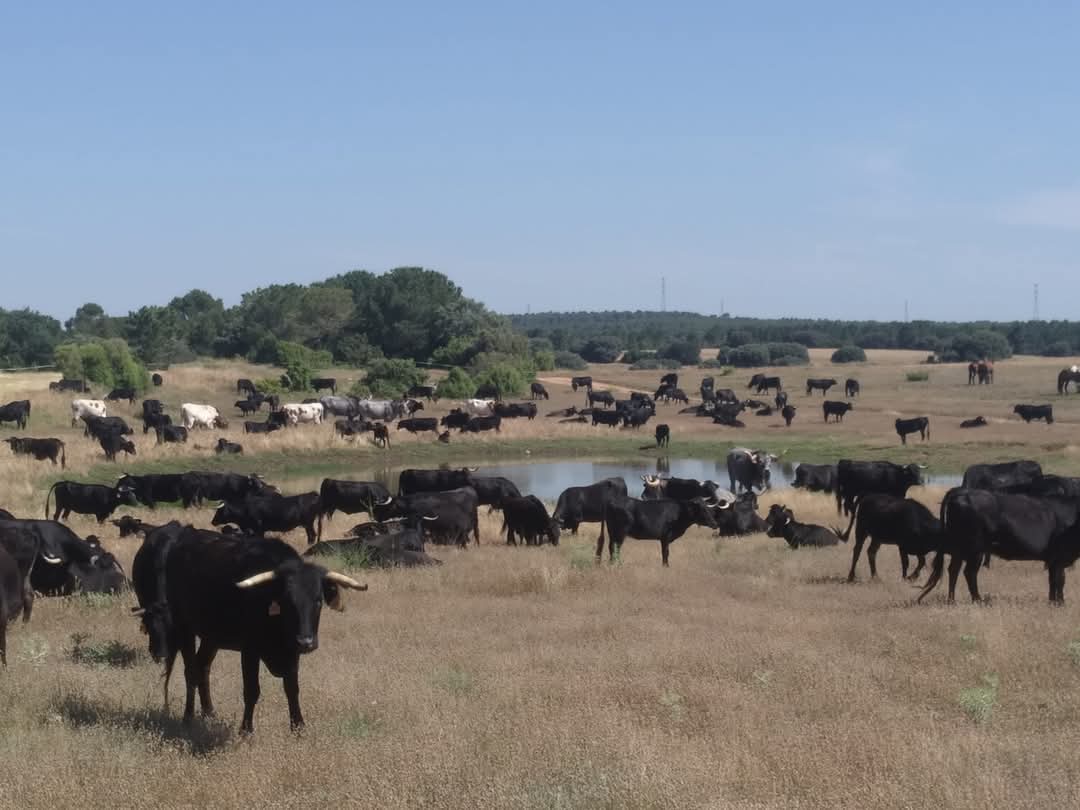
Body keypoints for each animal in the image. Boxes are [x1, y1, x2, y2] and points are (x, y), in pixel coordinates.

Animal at [164, 527, 365, 732]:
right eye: (287, 601)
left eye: (318, 601)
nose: (306, 642)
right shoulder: (249, 650)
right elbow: (252, 690)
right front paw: (246, 730)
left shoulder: (292, 651)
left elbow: (292, 688)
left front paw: (298, 727)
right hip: (184, 627)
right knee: (190, 671)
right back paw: (188, 717)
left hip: (211, 636)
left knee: (202, 667)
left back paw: (209, 713)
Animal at [918, 489, 1080, 604]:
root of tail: (962, 492)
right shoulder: (1059, 557)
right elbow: (1060, 580)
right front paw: (1060, 603)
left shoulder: (1054, 559)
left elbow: (1053, 580)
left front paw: (1053, 602)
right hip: (975, 548)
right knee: (969, 572)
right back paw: (978, 600)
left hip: (960, 547)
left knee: (954, 570)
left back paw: (952, 600)